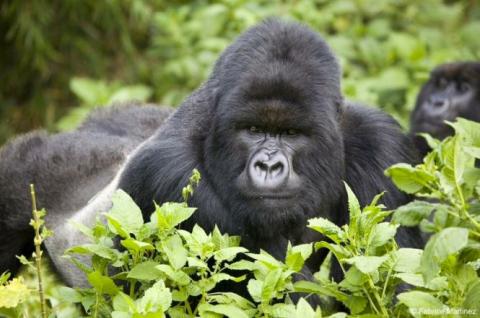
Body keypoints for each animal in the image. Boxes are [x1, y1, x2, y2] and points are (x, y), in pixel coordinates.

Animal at [0, 20, 420, 288]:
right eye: (253, 131)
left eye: (291, 133)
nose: (269, 165)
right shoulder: (171, 176)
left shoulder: (380, 145)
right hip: (20, 171)